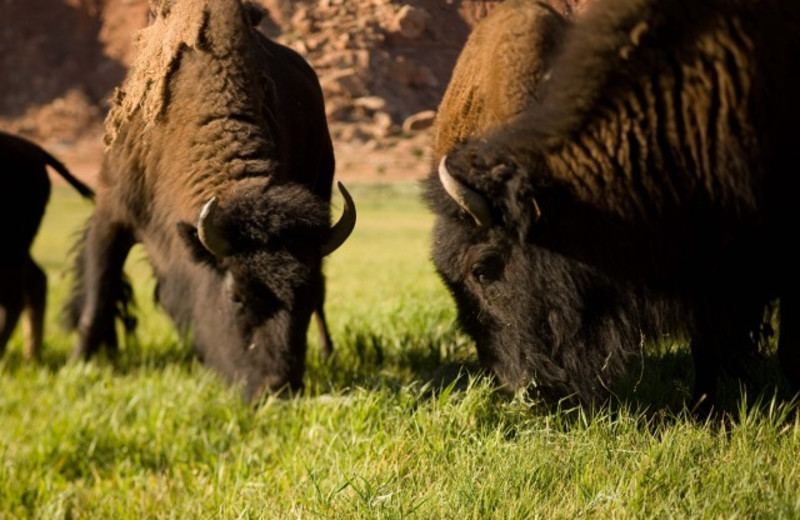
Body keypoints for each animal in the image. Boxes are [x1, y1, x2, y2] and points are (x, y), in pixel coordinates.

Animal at [0, 130, 95, 358]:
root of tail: (35, 149)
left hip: (13, 247)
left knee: (14, 297)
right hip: (22, 248)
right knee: (35, 280)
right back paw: (31, 355)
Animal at [64, 0, 358, 402]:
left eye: (304, 296)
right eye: (235, 296)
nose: (277, 388)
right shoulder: (113, 211)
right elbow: (97, 297)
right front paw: (77, 365)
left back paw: (328, 353)